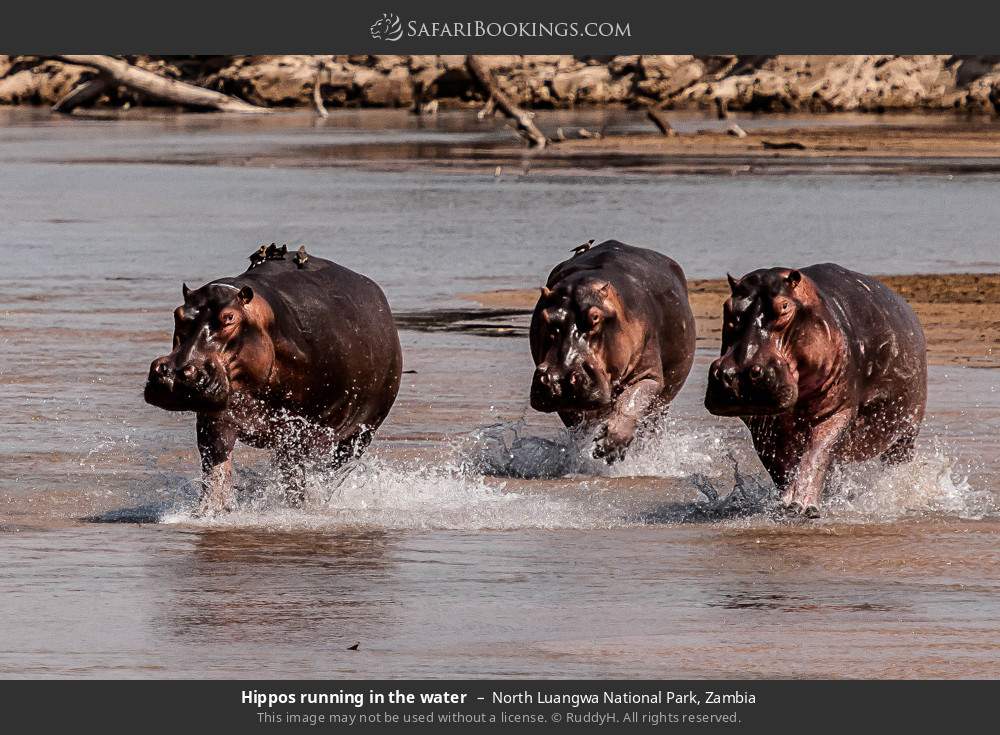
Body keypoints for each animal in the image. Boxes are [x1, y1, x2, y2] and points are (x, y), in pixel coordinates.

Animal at [145, 245, 402, 515]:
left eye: (230, 318)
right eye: (178, 313)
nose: (175, 374)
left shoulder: (302, 430)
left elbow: (295, 475)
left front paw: (296, 507)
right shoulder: (214, 420)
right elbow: (216, 471)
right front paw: (207, 512)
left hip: (359, 434)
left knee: (329, 471)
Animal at [530, 240, 696, 462]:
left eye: (595, 317)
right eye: (545, 317)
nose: (559, 378)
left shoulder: (650, 375)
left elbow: (632, 401)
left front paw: (610, 446)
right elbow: (579, 423)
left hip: (663, 402)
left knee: (651, 425)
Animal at [705, 263, 927, 518]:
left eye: (784, 307)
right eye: (727, 306)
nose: (737, 374)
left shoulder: (838, 409)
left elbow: (817, 452)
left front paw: (802, 506)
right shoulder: (764, 425)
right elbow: (781, 467)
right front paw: (785, 502)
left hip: (907, 430)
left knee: (895, 458)